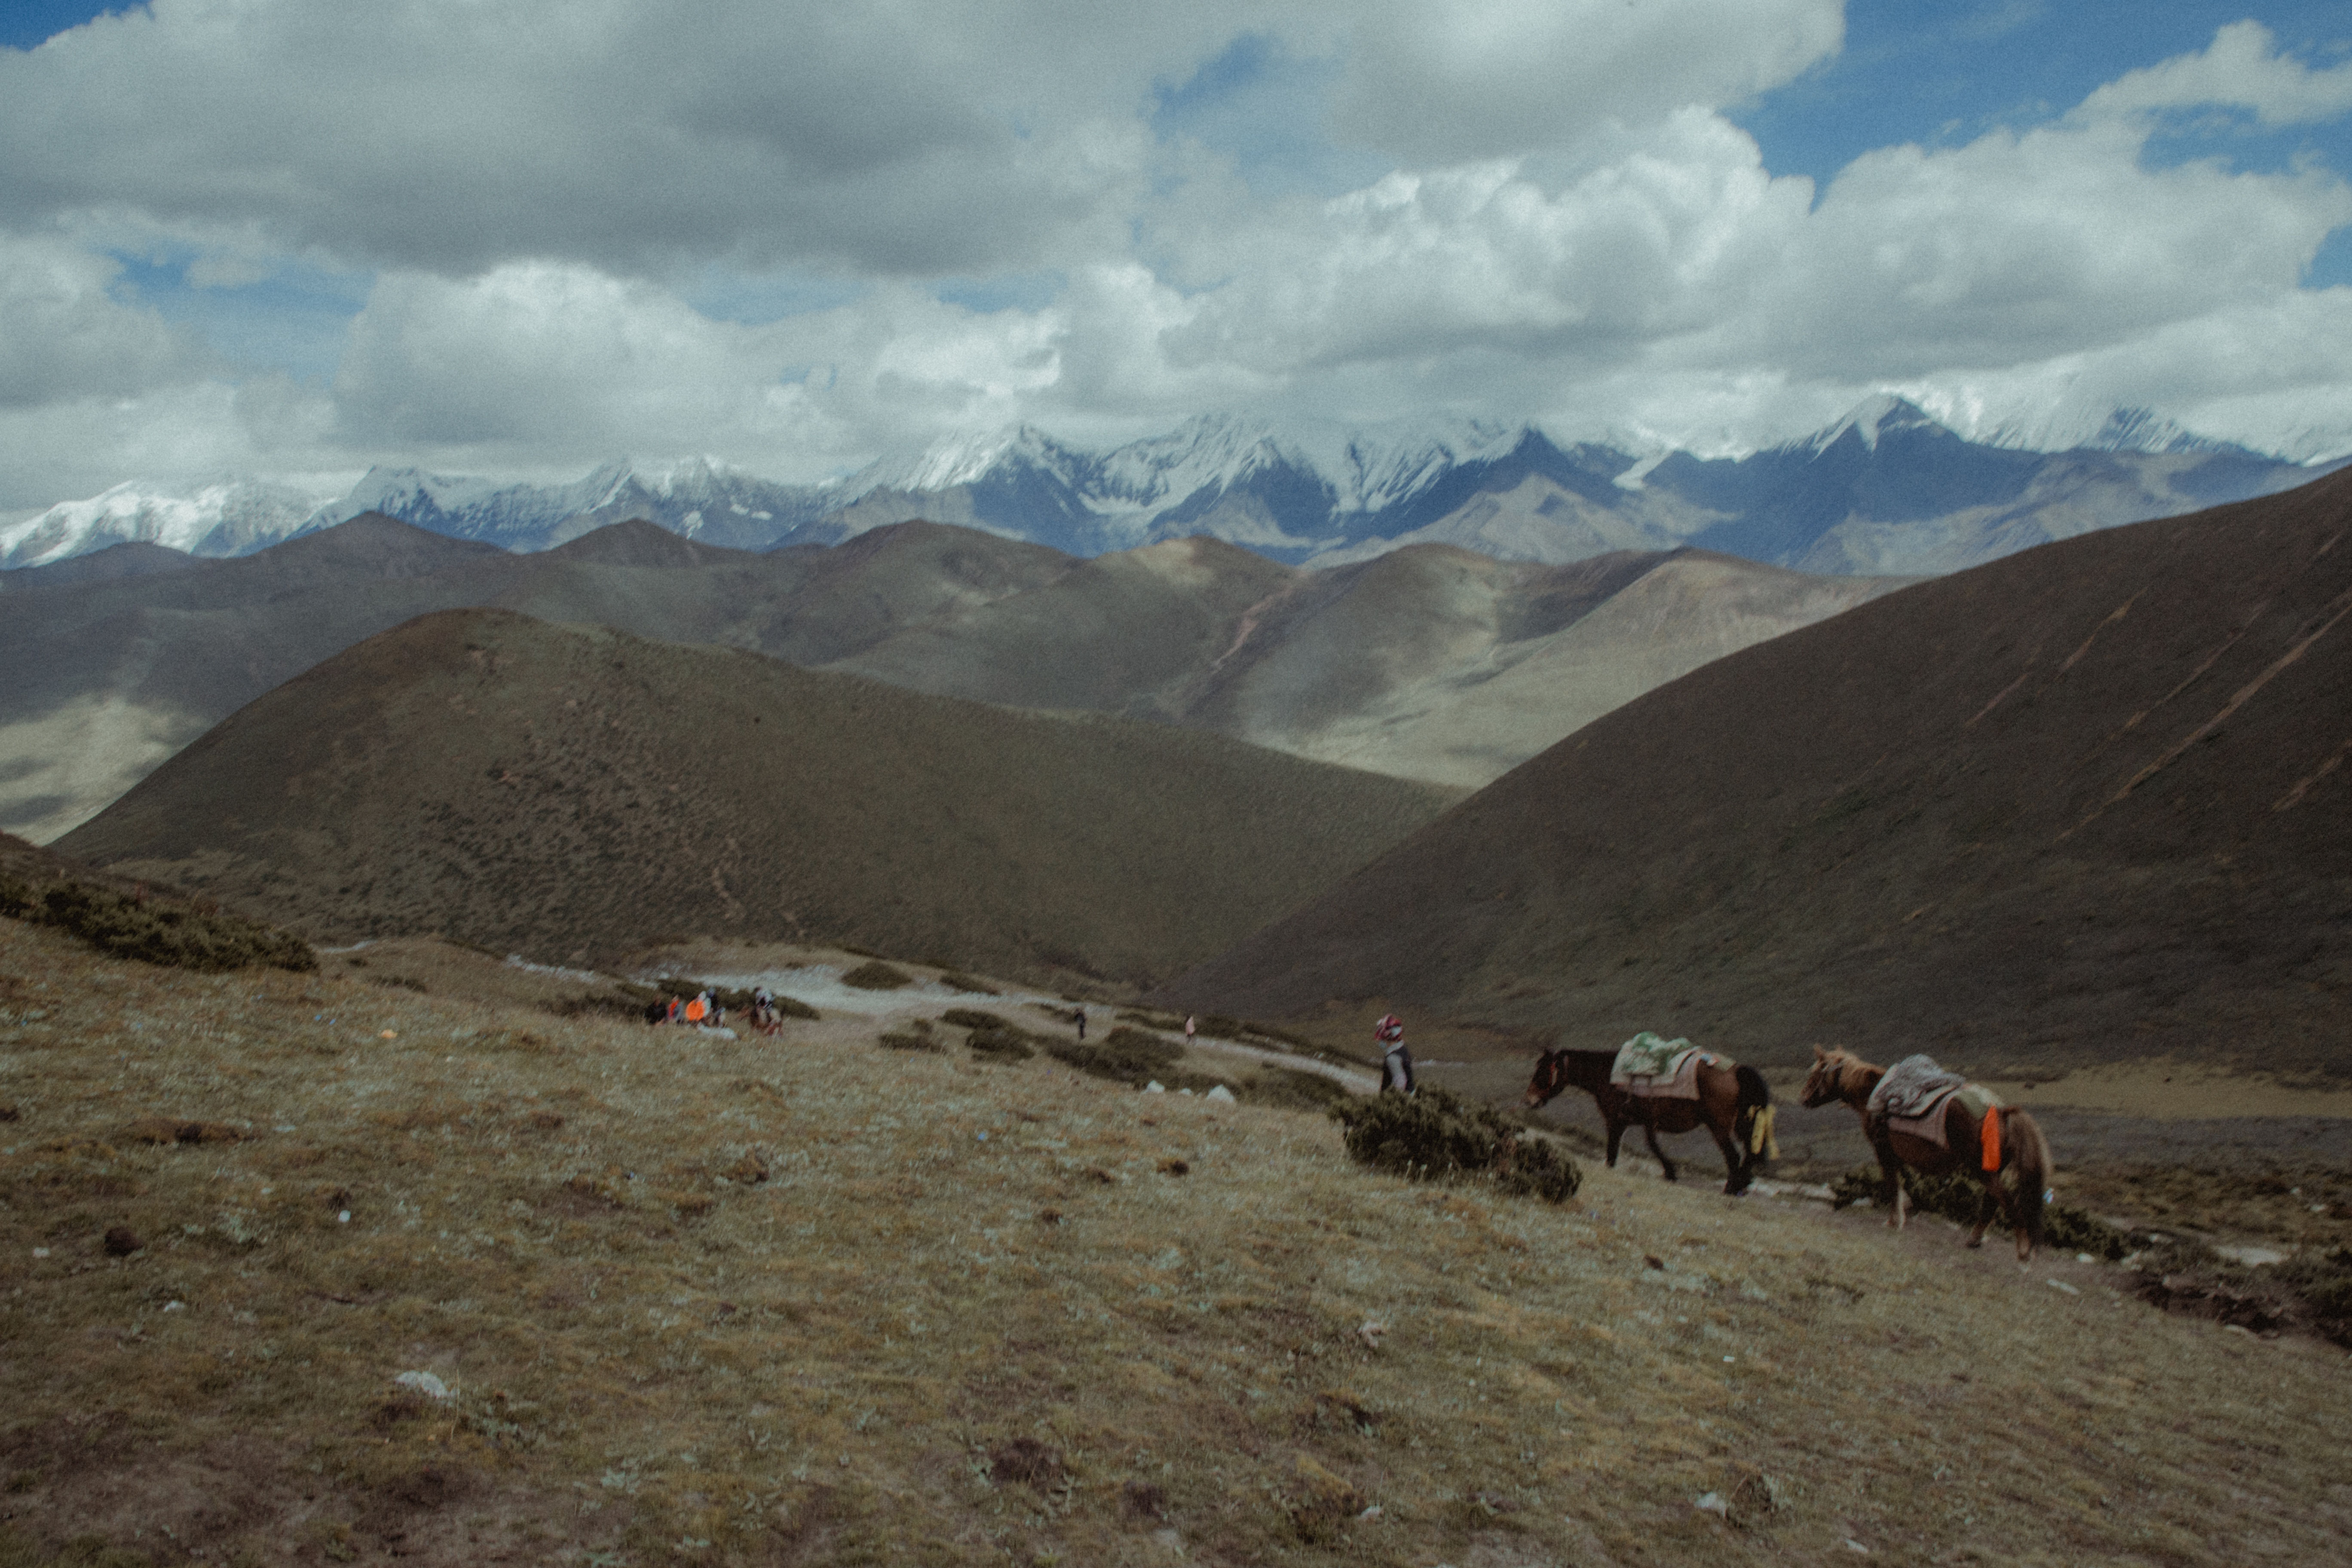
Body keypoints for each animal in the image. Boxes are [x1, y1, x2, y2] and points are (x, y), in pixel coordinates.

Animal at [1524, 1048, 1768, 1194]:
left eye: (1543, 1073)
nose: (1529, 1100)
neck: (1608, 1075)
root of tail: (1735, 1070)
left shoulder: (1616, 1121)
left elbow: (1615, 1152)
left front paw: (1670, 1172)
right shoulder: (1644, 1122)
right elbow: (1651, 1146)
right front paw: (1670, 1172)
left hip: (1718, 1126)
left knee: (1734, 1156)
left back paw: (1731, 1188)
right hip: (1740, 1124)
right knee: (1749, 1152)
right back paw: (1743, 1184)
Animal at [1806, 1048, 2051, 1269]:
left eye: (1816, 1072)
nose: (1804, 1099)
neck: (1872, 1092)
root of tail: (2001, 1111)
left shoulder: (1884, 1151)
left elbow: (1892, 1185)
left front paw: (1894, 1221)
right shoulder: (1896, 1156)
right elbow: (1900, 1186)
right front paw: (1903, 1213)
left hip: (1983, 1171)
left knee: (2009, 1205)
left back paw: (2023, 1253)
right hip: (1993, 1170)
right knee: (1991, 1204)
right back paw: (1975, 1241)